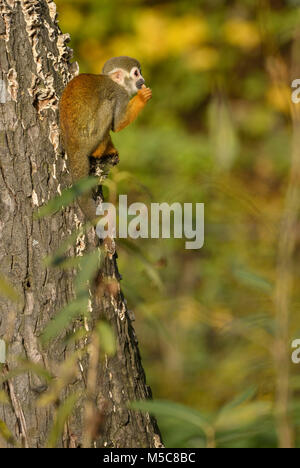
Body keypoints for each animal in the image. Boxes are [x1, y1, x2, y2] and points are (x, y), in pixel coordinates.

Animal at [59, 56, 152, 221]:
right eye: (136, 74)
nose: (143, 79)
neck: (115, 82)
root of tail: (73, 144)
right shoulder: (120, 94)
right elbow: (118, 124)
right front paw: (142, 97)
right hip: (90, 136)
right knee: (109, 104)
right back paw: (99, 151)